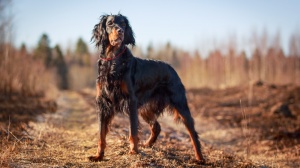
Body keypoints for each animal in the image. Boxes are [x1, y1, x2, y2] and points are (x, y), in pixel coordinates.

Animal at [88, 13, 205, 164]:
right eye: (110, 23)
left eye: (123, 24)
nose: (120, 31)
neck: (113, 60)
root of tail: (171, 68)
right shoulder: (103, 101)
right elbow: (101, 134)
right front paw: (99, 156)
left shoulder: (131, 100)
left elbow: (132, 130)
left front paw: (133, 152)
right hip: (145, 108)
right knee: (157, 126)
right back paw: (147, 144)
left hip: (180, 104)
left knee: (192, 132)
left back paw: (200, 158)